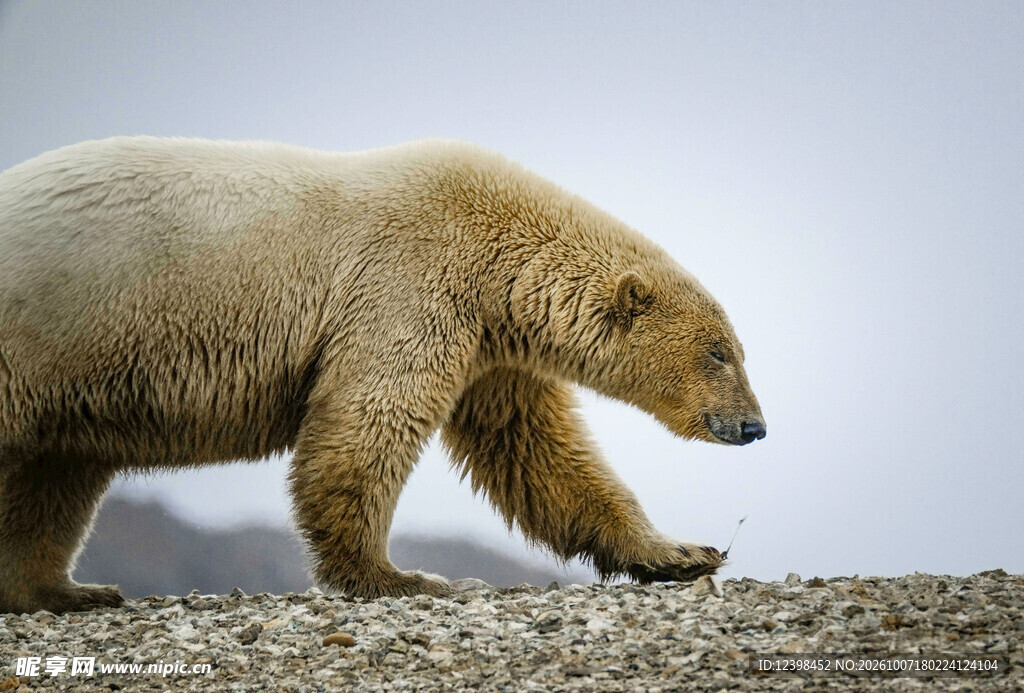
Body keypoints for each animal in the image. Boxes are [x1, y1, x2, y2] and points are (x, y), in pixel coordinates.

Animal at [0, 137, 765, 615]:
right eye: (719, 351)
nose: (754, 425)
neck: (497, 247)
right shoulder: (410, 281)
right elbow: (367, 425)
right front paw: (400, 576)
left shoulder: (492, 347)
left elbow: (539, 454)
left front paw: (684, 552)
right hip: (40, 333)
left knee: (56, 475)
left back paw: (66, 590)